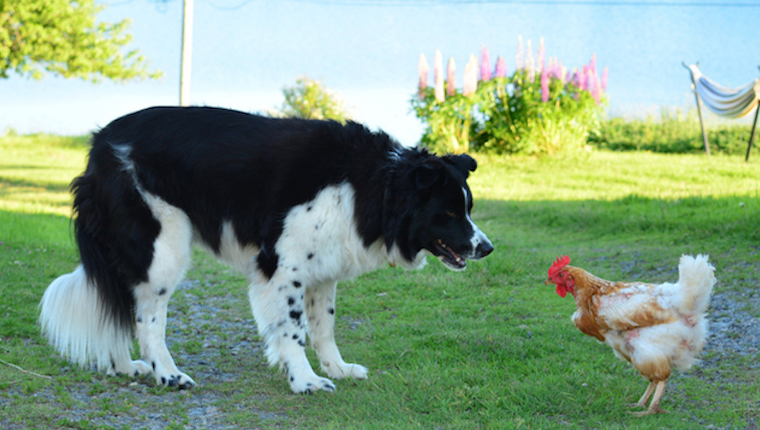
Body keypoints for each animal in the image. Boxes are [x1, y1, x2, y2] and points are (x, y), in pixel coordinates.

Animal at [38, 106, 492, 394]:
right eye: (449, 212)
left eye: (468, 208)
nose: (486, 248)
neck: (374, 184)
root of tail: (101, 142)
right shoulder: (283, 268)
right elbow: (292, 331)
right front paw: (305, 381)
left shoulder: (322, 270)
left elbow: (323, 329)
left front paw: (338, 369)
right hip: (162, 250)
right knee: (148, 321)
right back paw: (166, 374)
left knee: (119, 305)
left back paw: (125, 366)